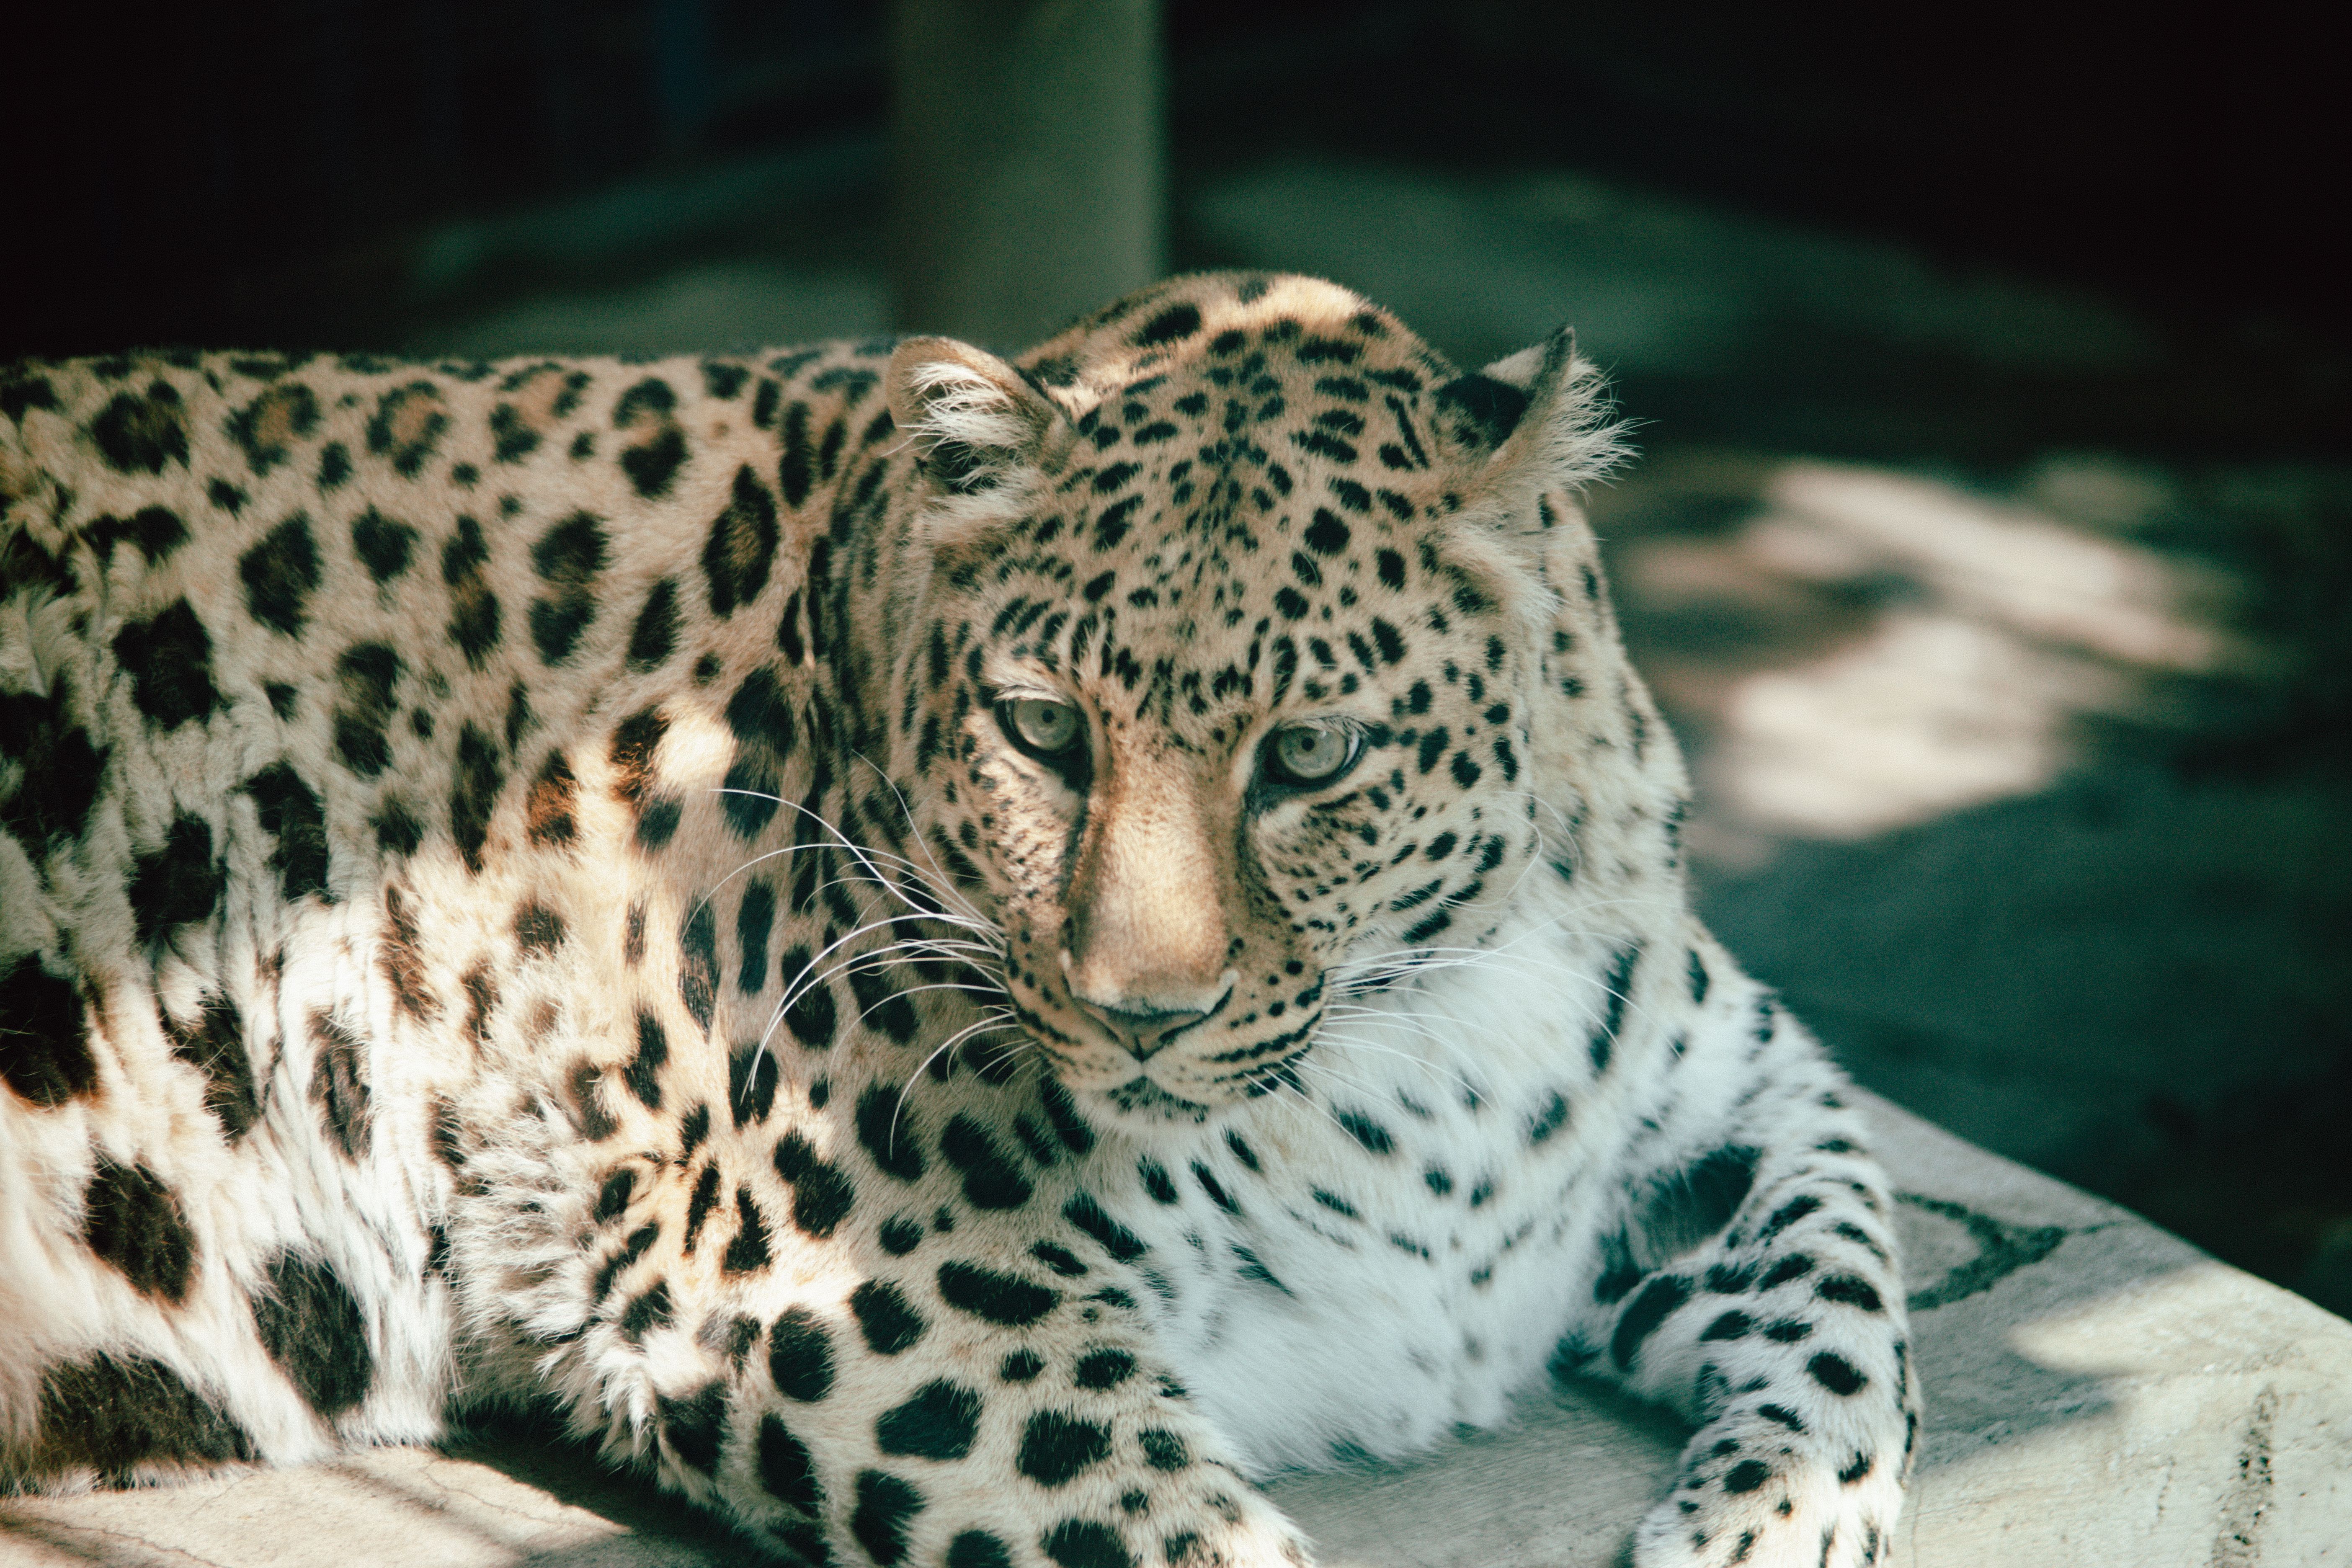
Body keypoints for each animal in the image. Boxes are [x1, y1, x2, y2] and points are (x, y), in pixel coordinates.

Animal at [0, 271, 1917, 1568]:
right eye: (1045, 732)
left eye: (1308, 754)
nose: (1143, 1011)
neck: (1423, 1031)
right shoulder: (857, 1294)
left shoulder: (1728, 1087)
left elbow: (1852, 1283)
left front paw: (1767, 1521)